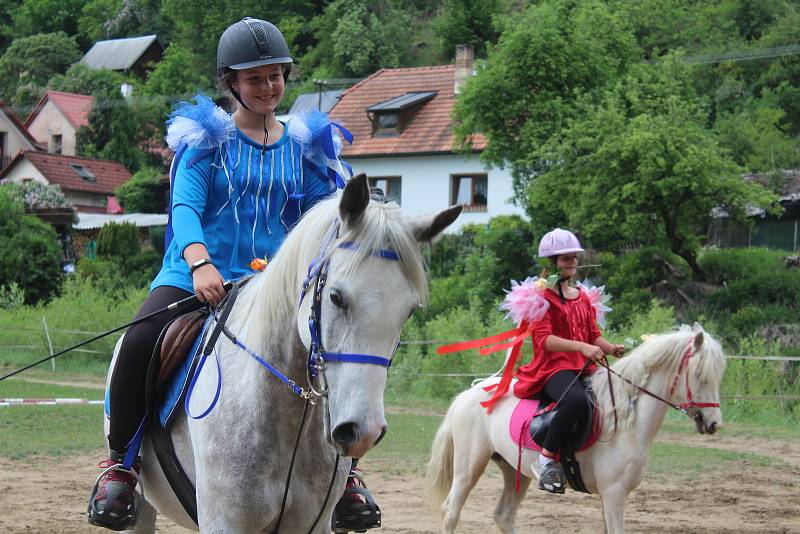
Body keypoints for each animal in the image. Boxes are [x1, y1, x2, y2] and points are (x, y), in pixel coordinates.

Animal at [428, 326, 728, 534]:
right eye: (700, 376)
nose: (714, 424)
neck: (625, 422)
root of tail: (469, 394)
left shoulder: (609, 497)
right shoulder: (614, 493)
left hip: (513, 470)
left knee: (503, 515)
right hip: (469, 467)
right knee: (450, 511)